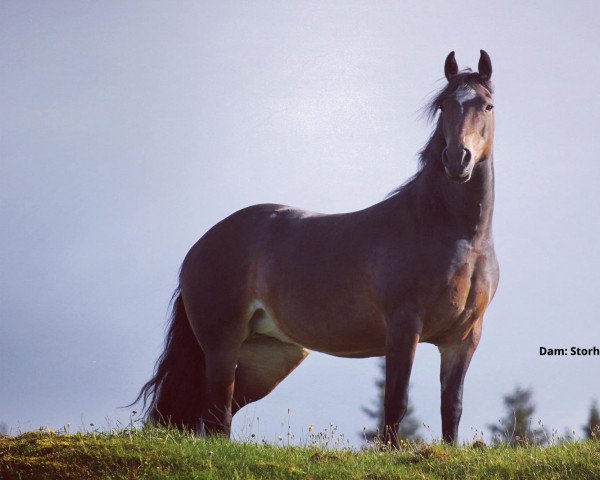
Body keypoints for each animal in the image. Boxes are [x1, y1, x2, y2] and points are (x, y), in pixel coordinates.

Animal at [134, 49, 500, 446]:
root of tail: (198, 247)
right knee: (217, 416)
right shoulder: (404, 328)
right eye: (444, 106)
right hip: (222, 346)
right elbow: (396, 400)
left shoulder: (463, 338)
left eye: (487, 105)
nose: (457, 159)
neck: (453, 235)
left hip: (270, 358)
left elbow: (452, 407)